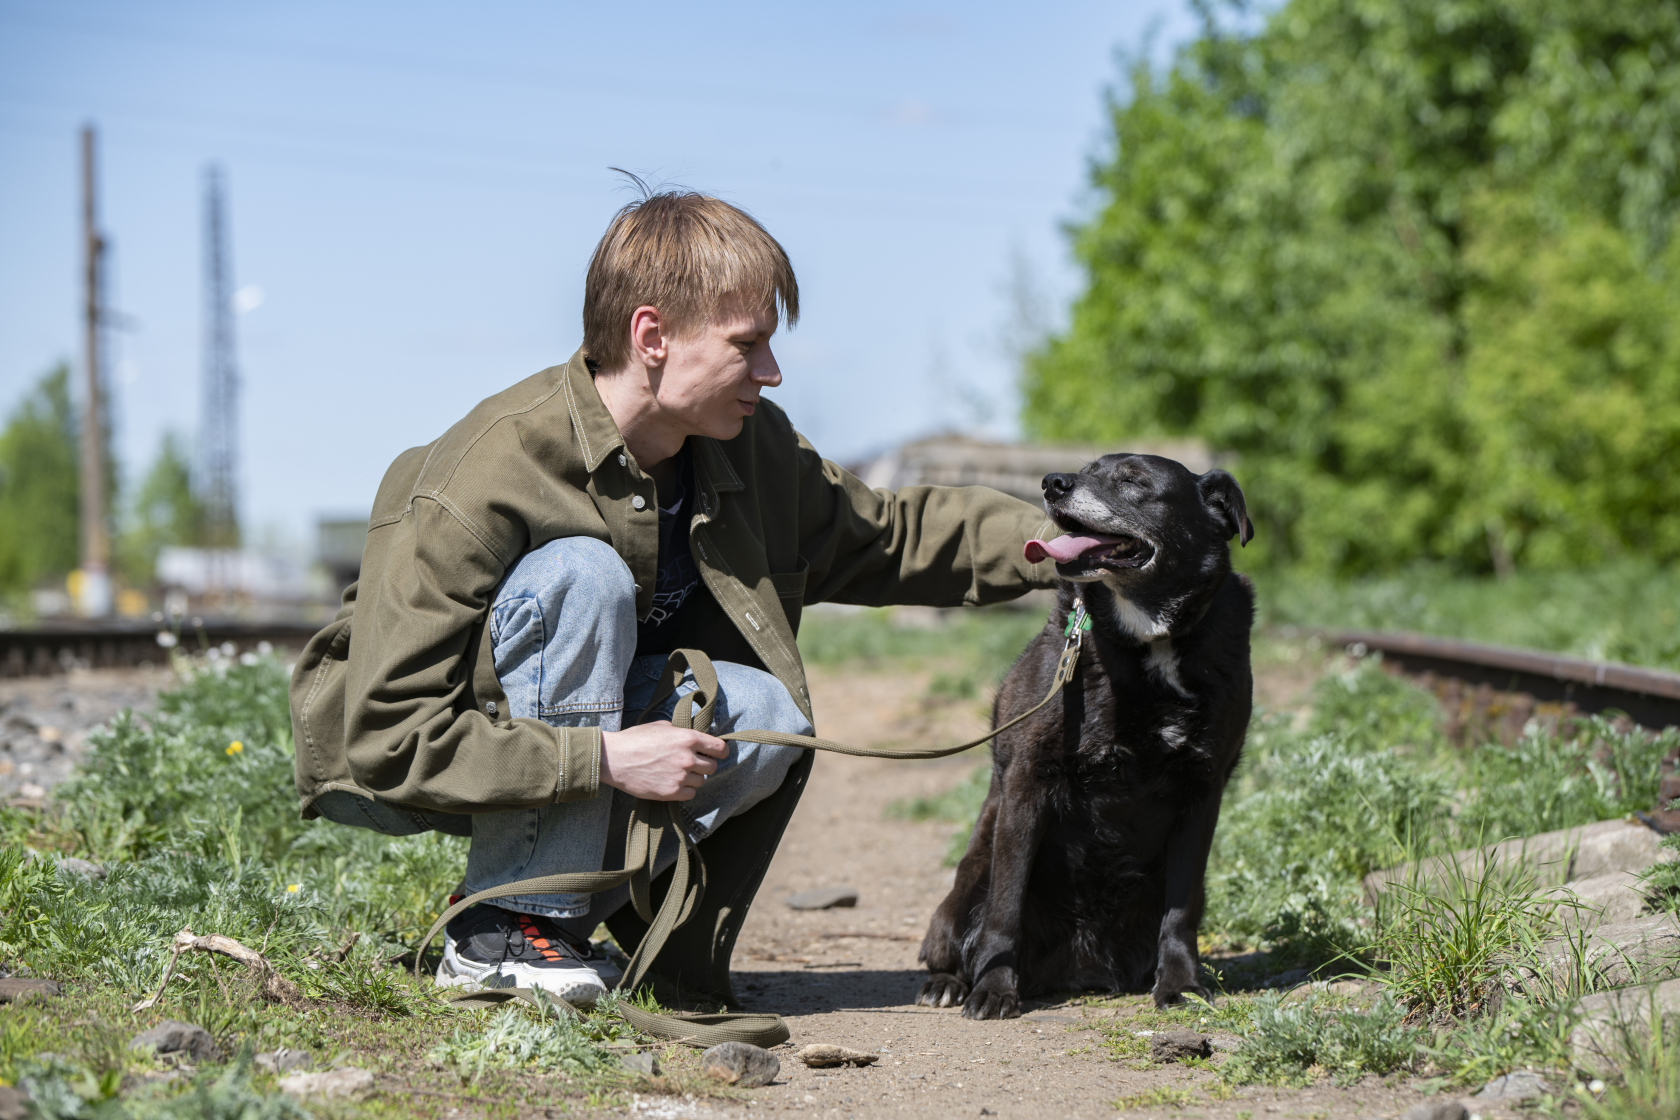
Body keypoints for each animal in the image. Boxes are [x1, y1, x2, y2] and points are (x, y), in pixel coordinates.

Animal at [913, 453, 1256, 1014]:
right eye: (1087, 467)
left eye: (1134, 480)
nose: (1053, 483)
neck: (1147, 640)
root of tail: (1082, 971)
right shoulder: (1028, 780)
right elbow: (1005, 907)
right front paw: (994, 989)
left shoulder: (1203, 787)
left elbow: (1182, 910)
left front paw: (1181, 982)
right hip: (964, 886)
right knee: (958, 934)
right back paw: (948, 983)